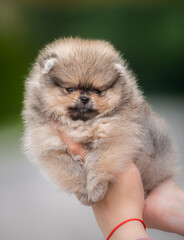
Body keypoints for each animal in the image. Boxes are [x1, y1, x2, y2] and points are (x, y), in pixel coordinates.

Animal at [22, 37, 176, 204]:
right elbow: (71, 171)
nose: (84, 98)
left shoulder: (113, 139)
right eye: (70, 89)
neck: (82, 123)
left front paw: (96, 189)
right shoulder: (53, 147)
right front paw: (83, 192)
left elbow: (99, 163)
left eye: (97, 91)